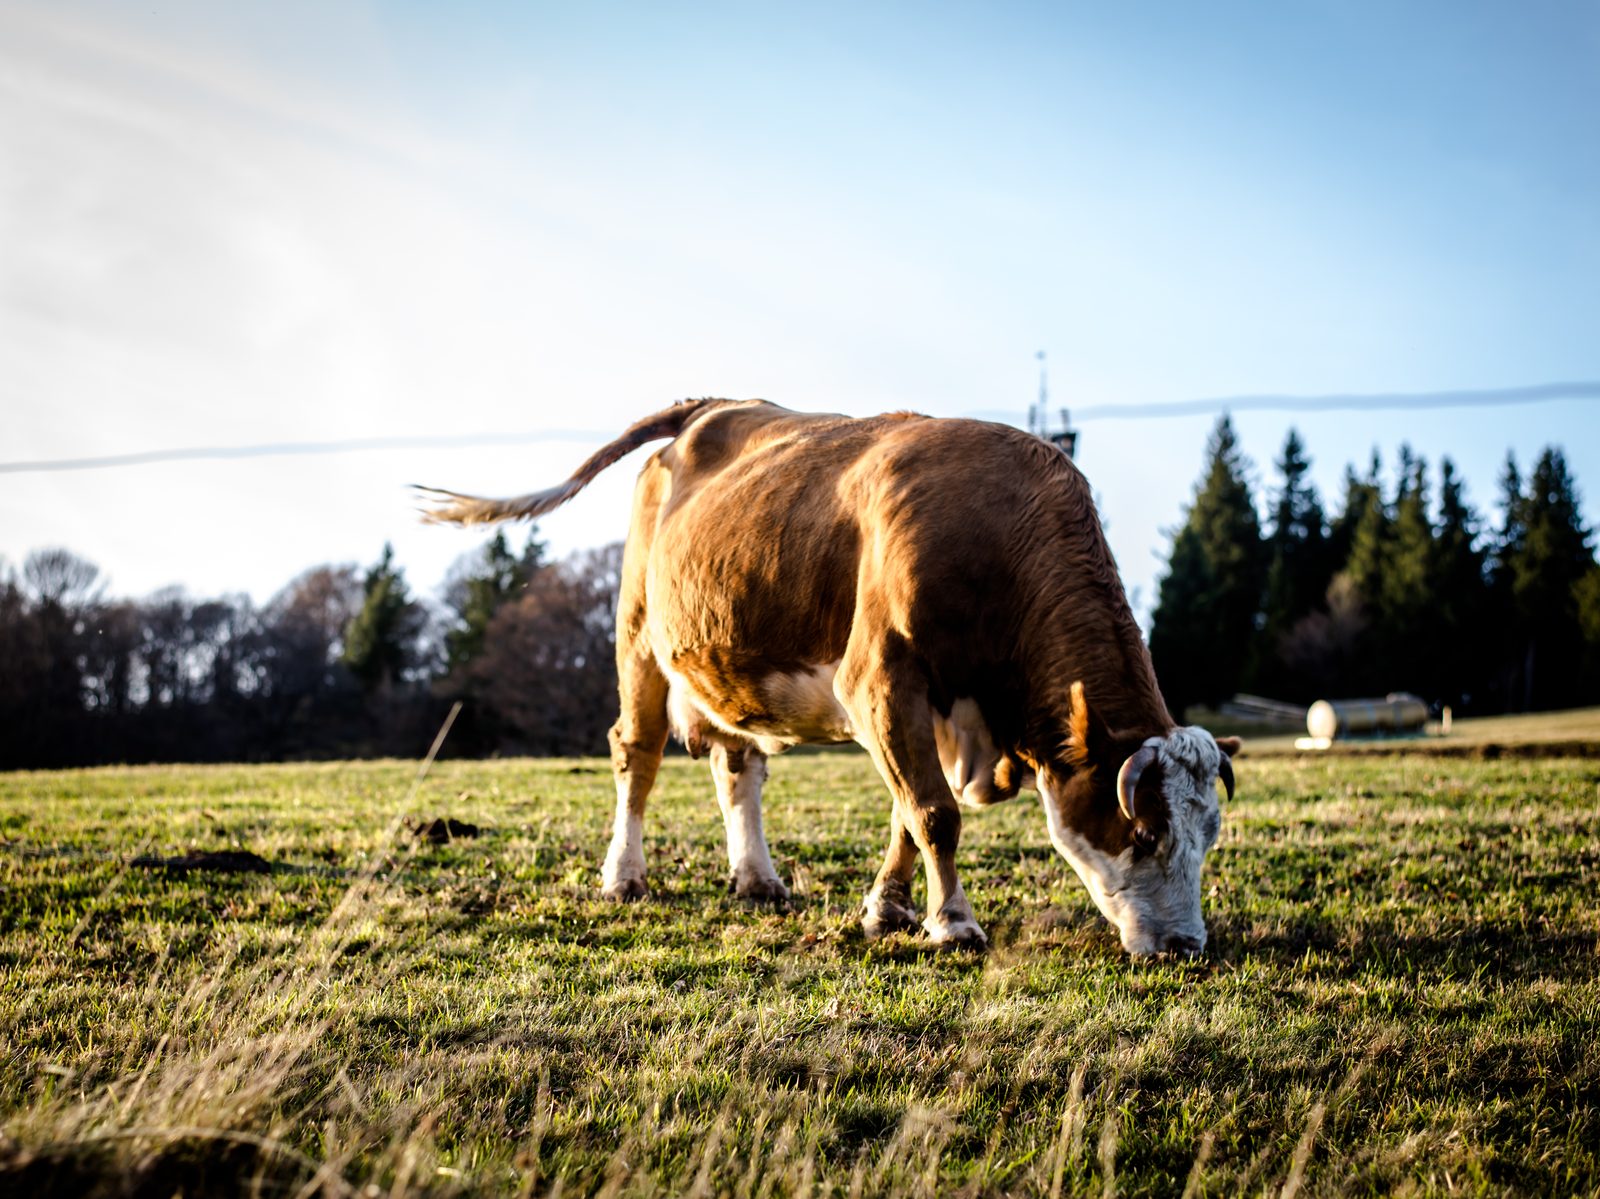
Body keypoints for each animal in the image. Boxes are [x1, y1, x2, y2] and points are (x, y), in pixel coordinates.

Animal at [418, 399, 1239, 955]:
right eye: (1144, 829)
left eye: (1209, 834)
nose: (1185, 948)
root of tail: (711, 406)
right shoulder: (879, 681)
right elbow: (934, 812)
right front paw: (953, 921)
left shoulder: (927, 711)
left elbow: (908, 810)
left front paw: (888, 909)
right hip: (638, 634)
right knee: (637, 753)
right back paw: (624, 874)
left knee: (737, 765)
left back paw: (756, 877)